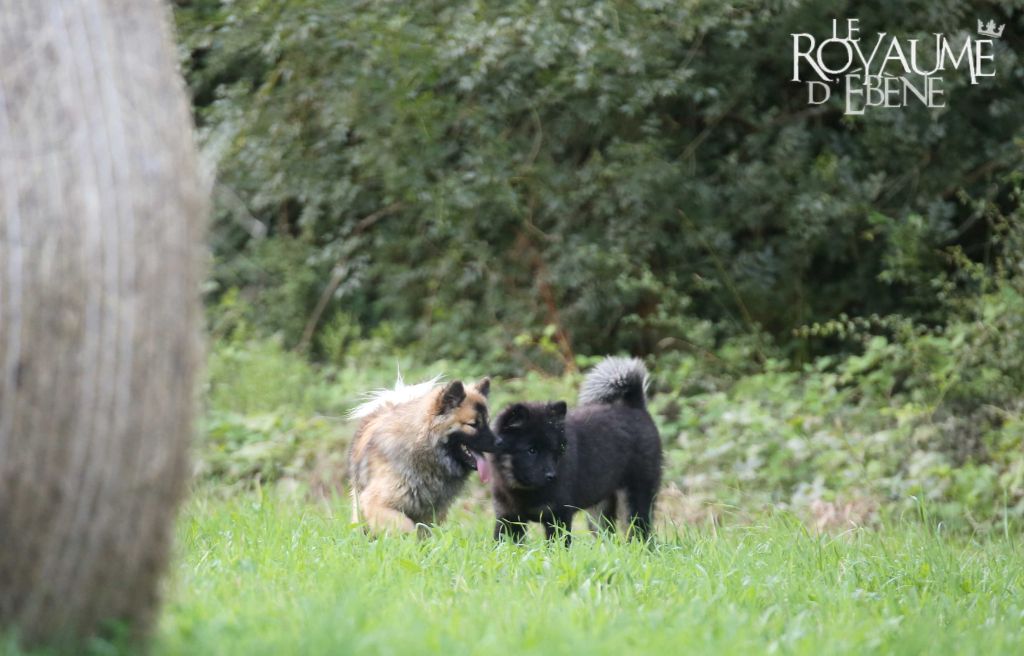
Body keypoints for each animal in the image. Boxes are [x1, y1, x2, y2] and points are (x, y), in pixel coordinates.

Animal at [348, 376, 499, 536]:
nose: (500, 442)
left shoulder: (430, 513)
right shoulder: (375, 502)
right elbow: (406, 525)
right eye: (473, 424)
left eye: (487, 422)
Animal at [487, 358, 663, 540]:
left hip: (635, 497)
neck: (522, 490)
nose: (552, 477)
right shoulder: (508, 518)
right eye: (531, 450)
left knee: (639, 531)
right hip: (599, 506)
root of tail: (635, 407)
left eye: (554, 450)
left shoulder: (558, 516)